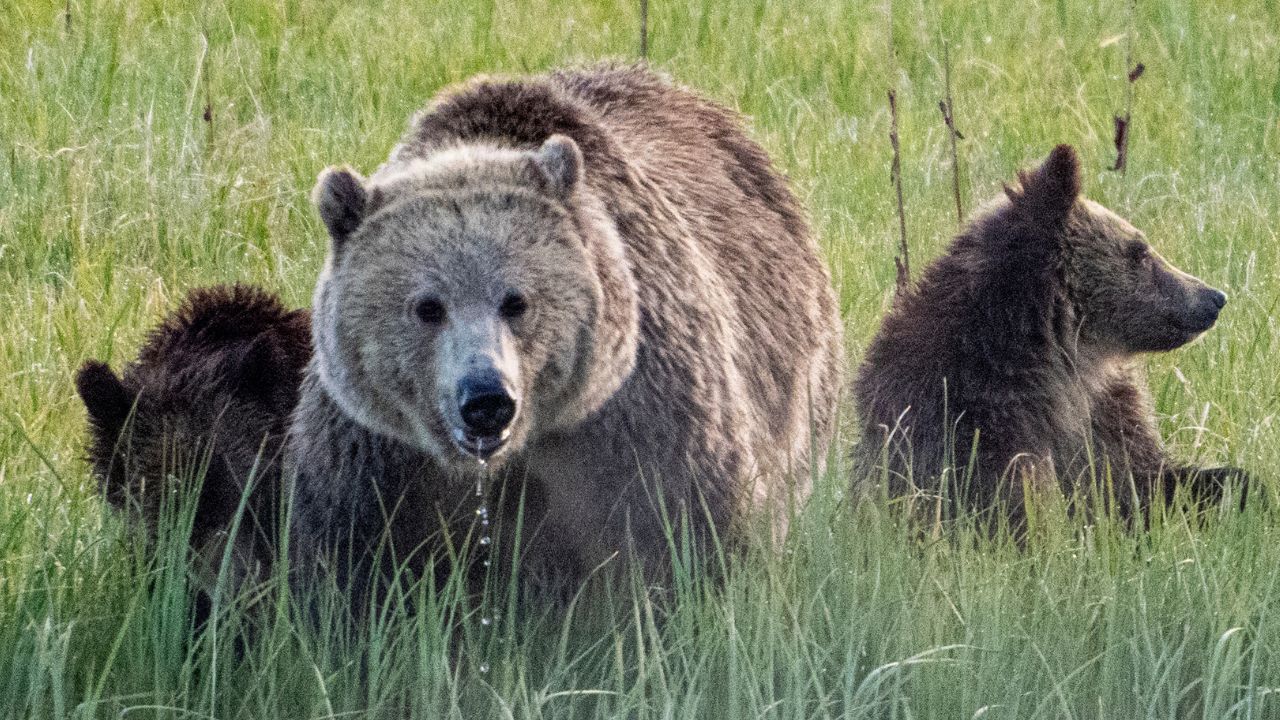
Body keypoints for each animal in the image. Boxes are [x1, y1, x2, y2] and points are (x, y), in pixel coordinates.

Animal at [286, 64, 844, 601]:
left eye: (516, 301)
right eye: (427, 307)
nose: (486, 399)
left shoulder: (639, 418)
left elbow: (690, 532)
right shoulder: (378, 455)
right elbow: (352, 563)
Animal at [851, 145, 1245, 525]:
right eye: (1140, 251)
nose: (1214, 297)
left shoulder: (1103, 417)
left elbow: (1148, 481)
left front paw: (1240, 491)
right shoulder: (969, 426)